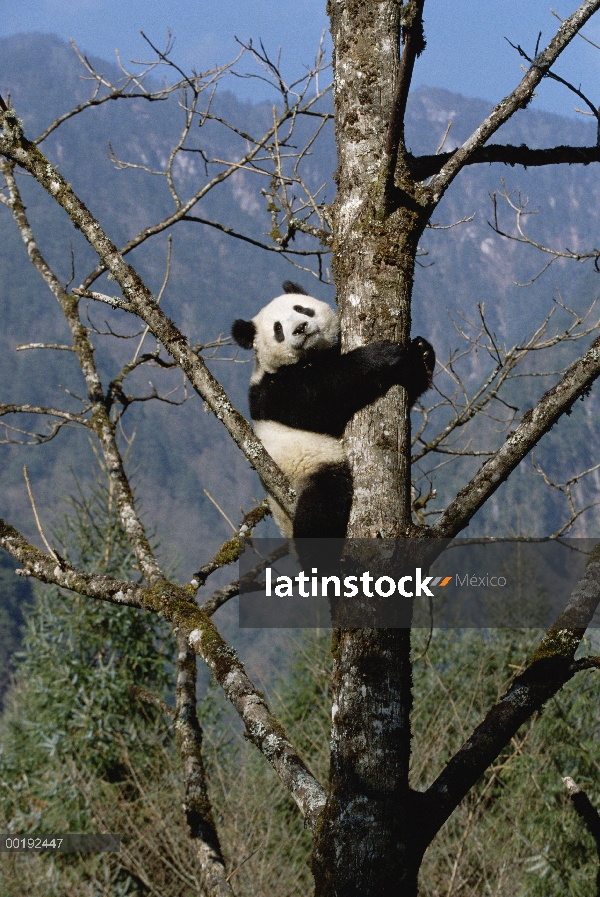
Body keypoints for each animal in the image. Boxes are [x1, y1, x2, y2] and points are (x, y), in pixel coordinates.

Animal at [232, 280, 434, 540]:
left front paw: (422, 353)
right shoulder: (274, 392)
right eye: (278, 329)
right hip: (306, 463)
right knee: (323, 502)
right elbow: (321, 399)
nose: (300, 328)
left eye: (302, 309)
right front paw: (380, 355)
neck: (311, 357)